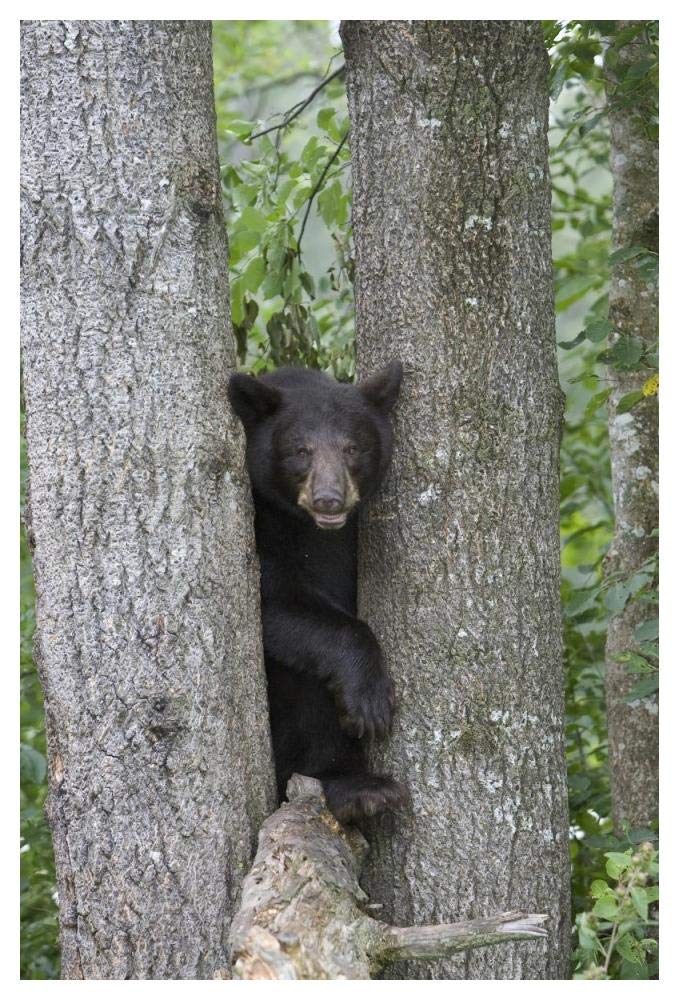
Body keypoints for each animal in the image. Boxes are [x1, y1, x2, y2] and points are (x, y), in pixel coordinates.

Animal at [228, 362, 407, 823]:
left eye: (352, 448)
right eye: (301, 450)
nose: (329, 499)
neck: (312, 529)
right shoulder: (260, 523)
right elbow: (274, 599)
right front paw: (370, 698)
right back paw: (354, 788)